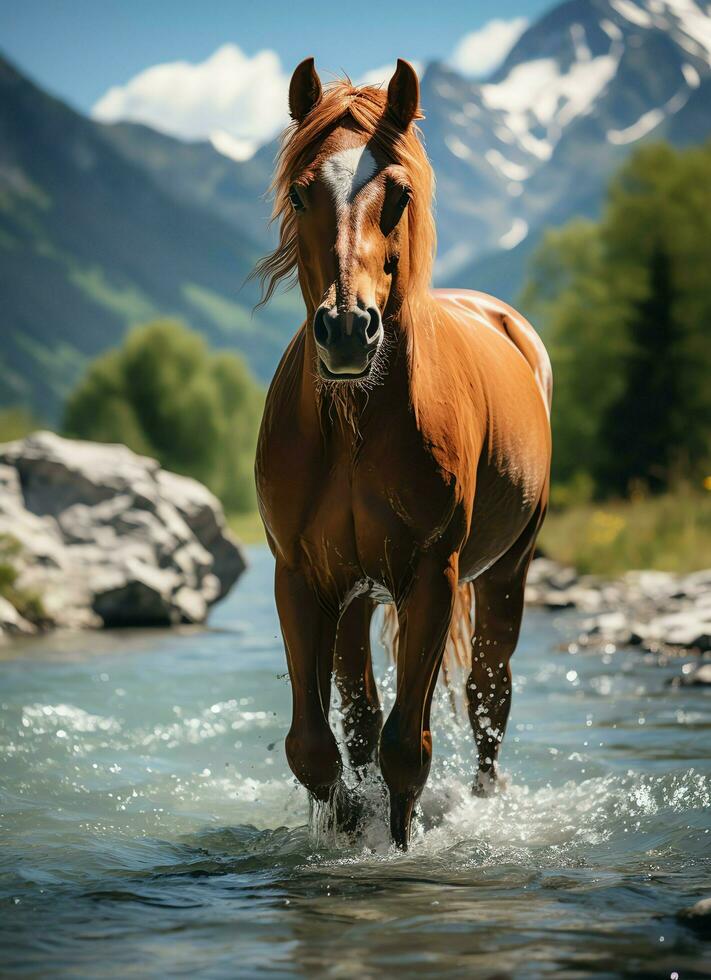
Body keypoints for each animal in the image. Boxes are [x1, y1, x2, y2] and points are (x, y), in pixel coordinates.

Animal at [253, 59, 552, 848]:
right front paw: (342, 826)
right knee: (359, 712)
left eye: (400, 194)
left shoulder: (431, 578)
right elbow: (317, 743)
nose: (347, 331)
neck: (356, 426)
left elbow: (405, 747)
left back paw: (483, 797)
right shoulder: (302, 578)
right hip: (357, 594)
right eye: (302, 190)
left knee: (488, 695)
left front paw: (398, 842)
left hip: (505, 572)